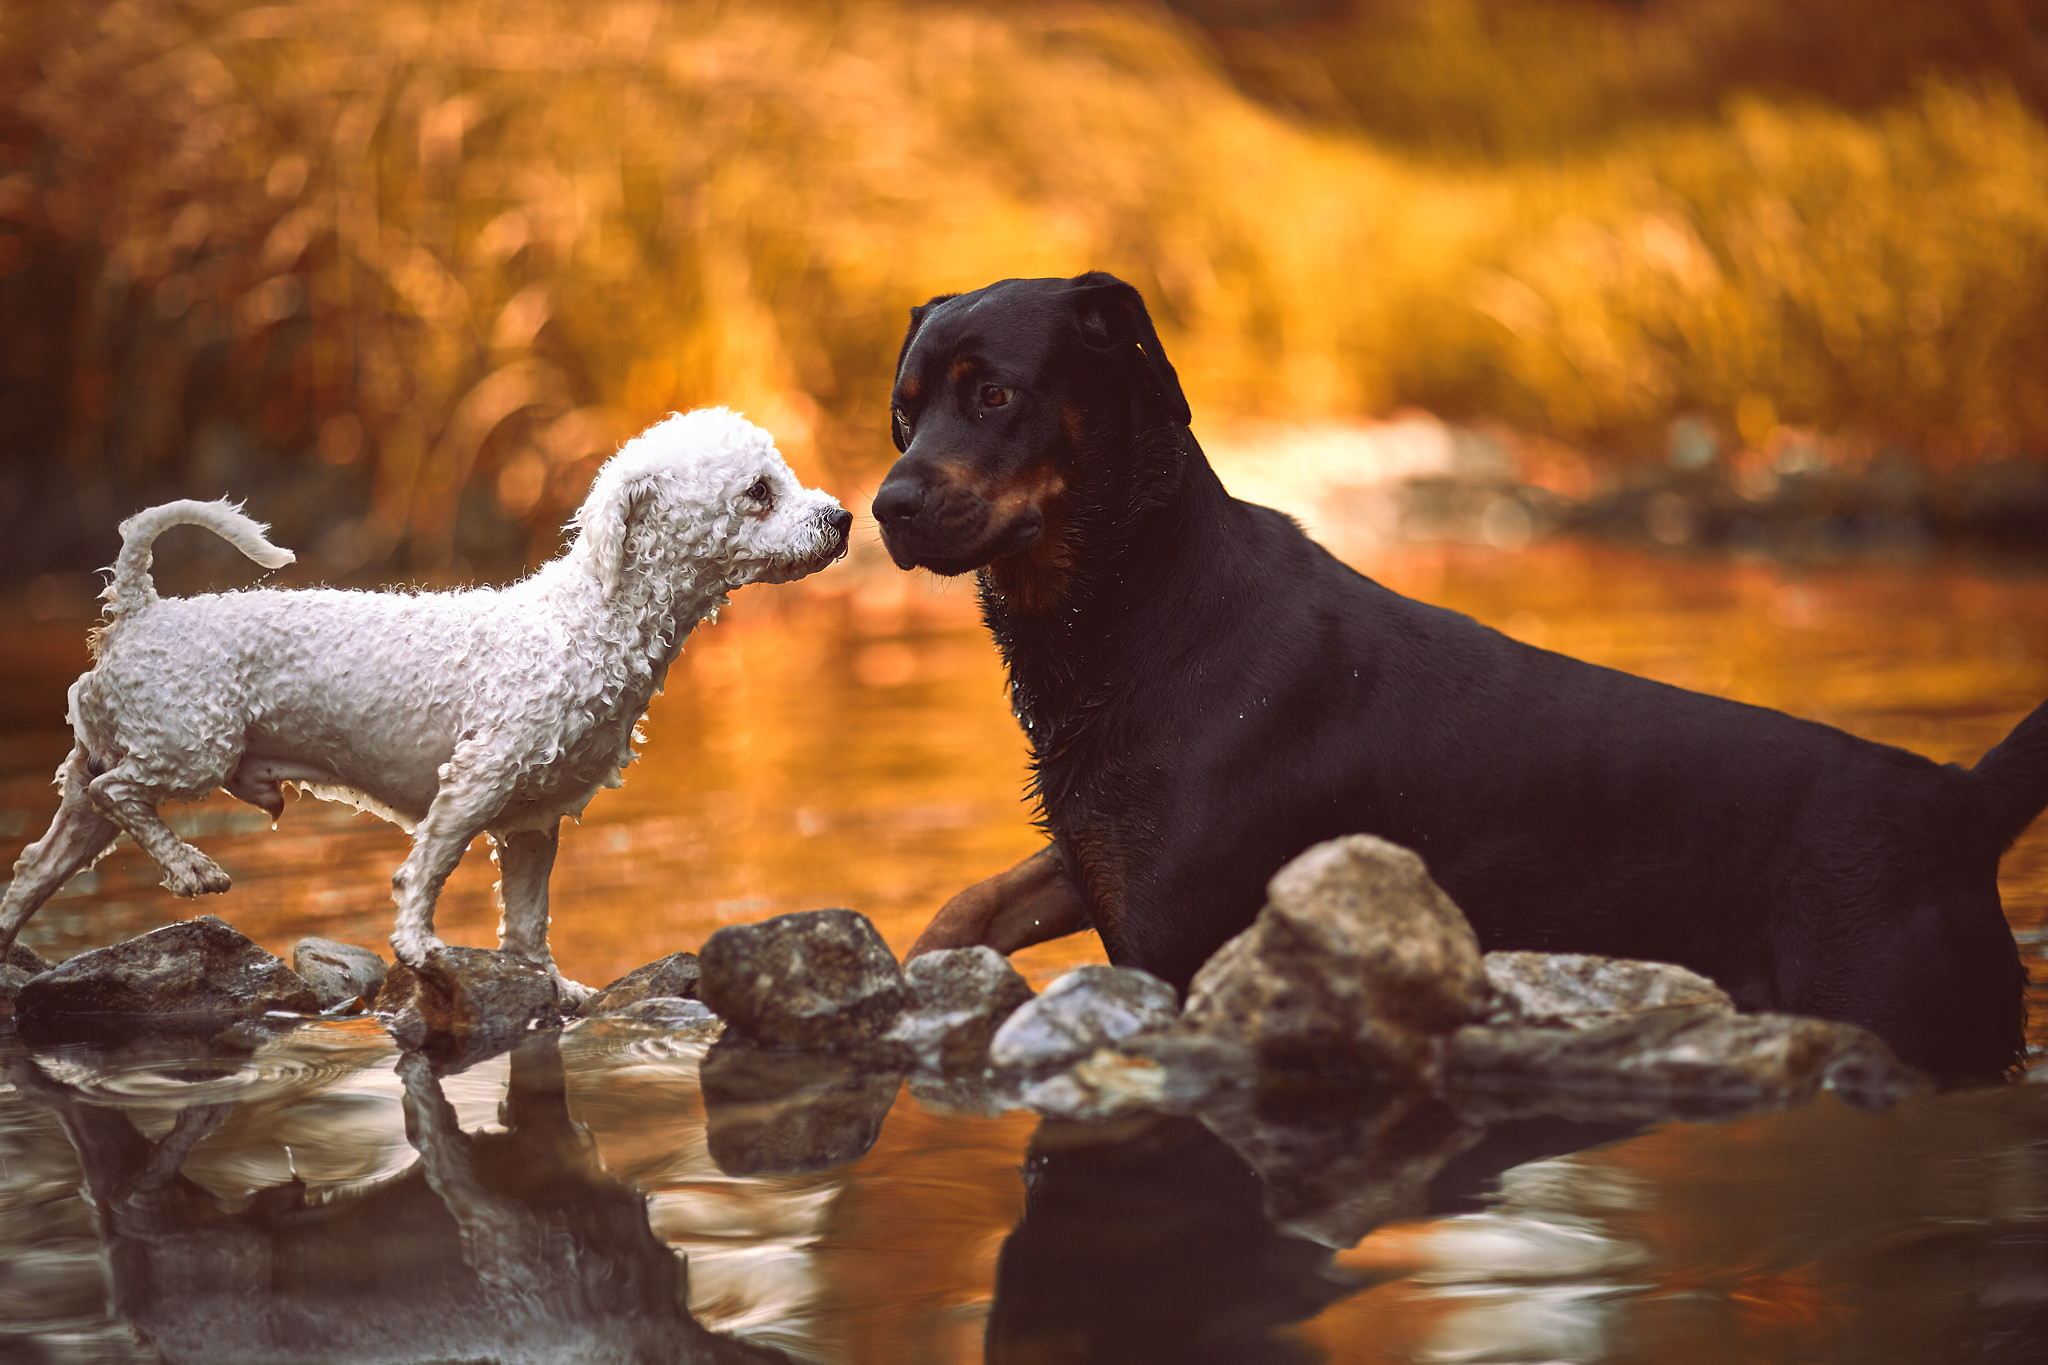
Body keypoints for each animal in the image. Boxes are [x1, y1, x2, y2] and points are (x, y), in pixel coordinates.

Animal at [0, 409, 851, 1002]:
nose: (841, 518)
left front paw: (555, 987)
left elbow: (529, 923)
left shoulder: (533, 824)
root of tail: (138, 609)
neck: (583, 625)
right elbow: (426, 871)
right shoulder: (475, 780)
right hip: (188, 748)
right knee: (121, 794)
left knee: (39, 863)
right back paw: (190, 867)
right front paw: (417, 950)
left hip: (99, 784)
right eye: (759, 492)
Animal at [876, 272, 2048, 1080]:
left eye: (994, 395)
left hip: (1893, 1005)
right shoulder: (1100, 846)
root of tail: (1960, 800)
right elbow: (976, 896)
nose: (885, 504)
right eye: (904, 411)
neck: (1145, 598)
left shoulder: (1171, 929)